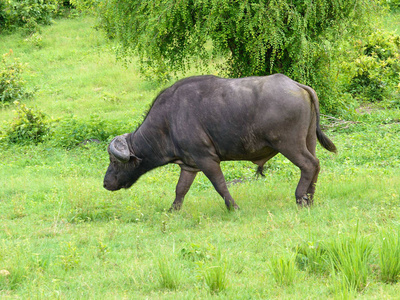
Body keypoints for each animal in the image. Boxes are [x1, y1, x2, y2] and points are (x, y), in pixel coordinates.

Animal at [104, 74, 338, 210]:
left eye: (114, 162)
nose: (106, 183)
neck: (168, 120)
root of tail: (298, 85)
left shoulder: (206, 159)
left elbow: (220, 185)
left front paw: (233, 208)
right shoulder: (189, 165)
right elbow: (180, 189)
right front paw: (173, 210)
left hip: (289, 144)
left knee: (309, 165)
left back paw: (300, 199)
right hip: (309, 141)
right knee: (316, 165)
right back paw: (310, 199)